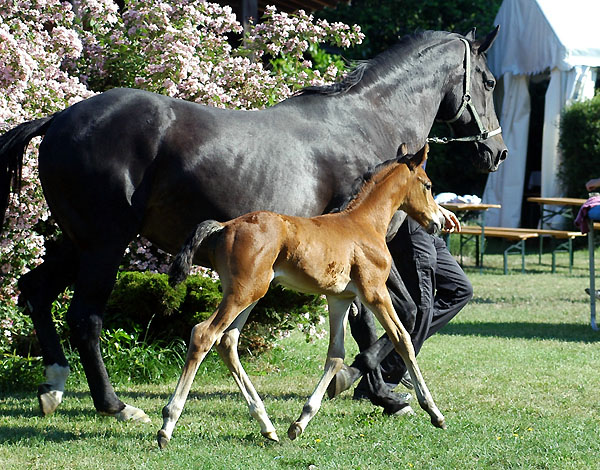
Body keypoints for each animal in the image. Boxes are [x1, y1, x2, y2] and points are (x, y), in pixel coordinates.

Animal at [157, 144, 448, 448]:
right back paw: (167, 424)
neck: (363, 224)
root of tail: (224, 226)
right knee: (204, 334)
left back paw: (267, 425)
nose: (439, 221)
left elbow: (336, 355)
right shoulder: (375, 292)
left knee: (227, 342)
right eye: (428, 185)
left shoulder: (340, 298)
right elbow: (403, 339)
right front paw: (434, 412)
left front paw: (300, 421)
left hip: (250, 293)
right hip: (243, 293)